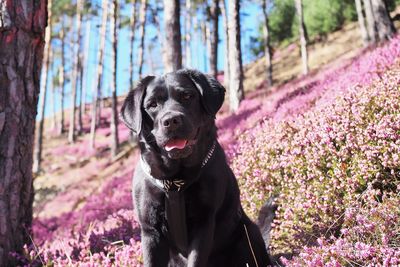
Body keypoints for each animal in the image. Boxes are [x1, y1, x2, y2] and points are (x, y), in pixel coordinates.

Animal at [120, 69, 274, 267]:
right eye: (152, 104)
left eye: (187, 96)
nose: (171, 120)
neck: (175, 180)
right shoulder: (150, 230)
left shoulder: (204, 221)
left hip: (248, 234)